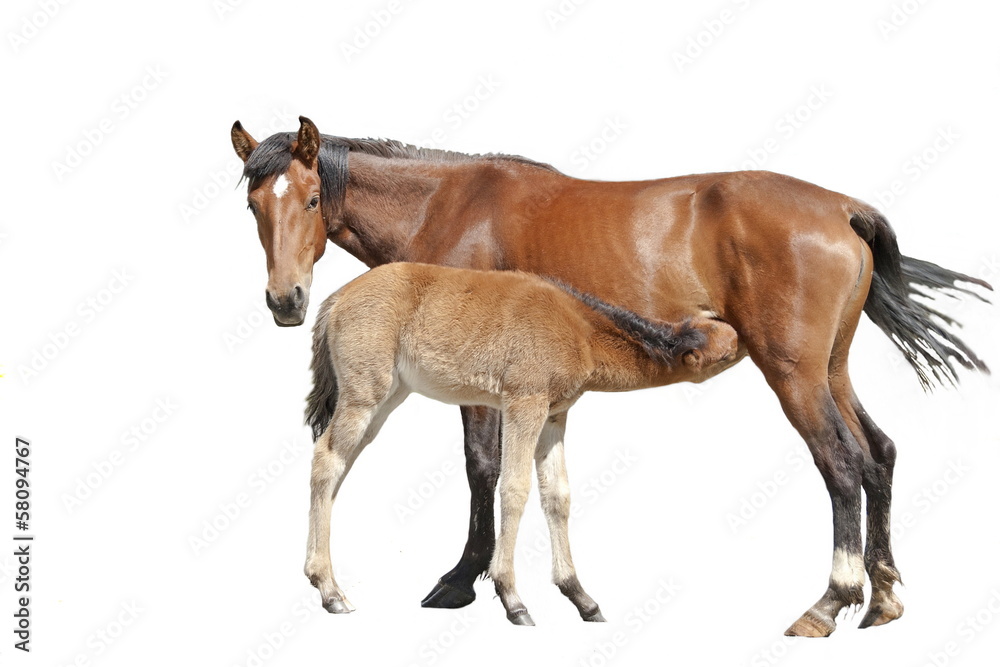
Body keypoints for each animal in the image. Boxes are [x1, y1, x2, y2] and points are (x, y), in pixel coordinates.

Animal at [302, 262, 740, 625]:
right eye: (726, 352)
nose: (747, 341)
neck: (579, 329)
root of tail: (336, 299)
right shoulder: (523, 403)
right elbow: (514, 489)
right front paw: (512, 598)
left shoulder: (554, 415)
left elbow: (557, 495)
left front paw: (581, 598)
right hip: (364, 395)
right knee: (326, 459)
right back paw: (330, 591)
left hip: (388, 397)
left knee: (339, 467)